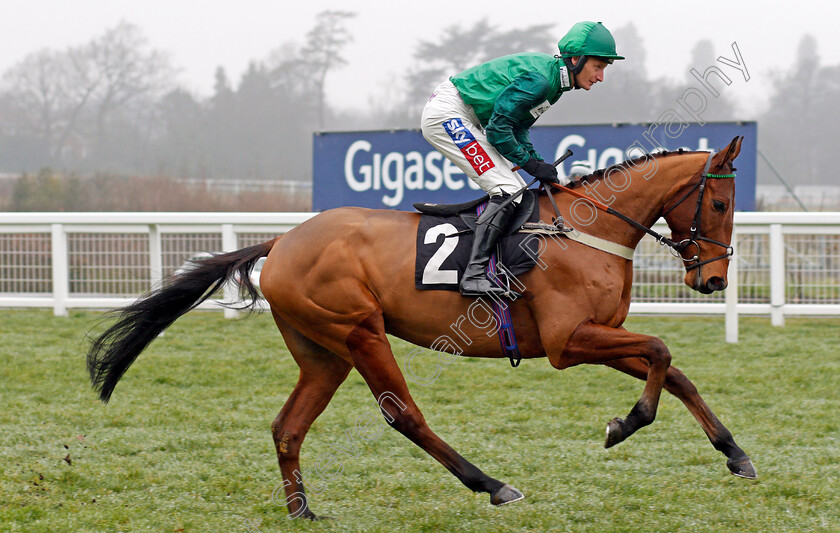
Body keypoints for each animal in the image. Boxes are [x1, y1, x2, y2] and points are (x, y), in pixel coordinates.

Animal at [87, 135, 756, 516]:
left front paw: (735, 454)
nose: (713, 281)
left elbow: (675, 371)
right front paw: (625, 424)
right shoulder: (568, 341)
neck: (585, 229)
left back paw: (301, 510)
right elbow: (662, 349)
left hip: (323, 352)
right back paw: (492, 484)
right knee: (403, 415)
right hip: (359, 331)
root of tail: (282, 242)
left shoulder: (598, 336)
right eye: (721, 203)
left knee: (287, 426)